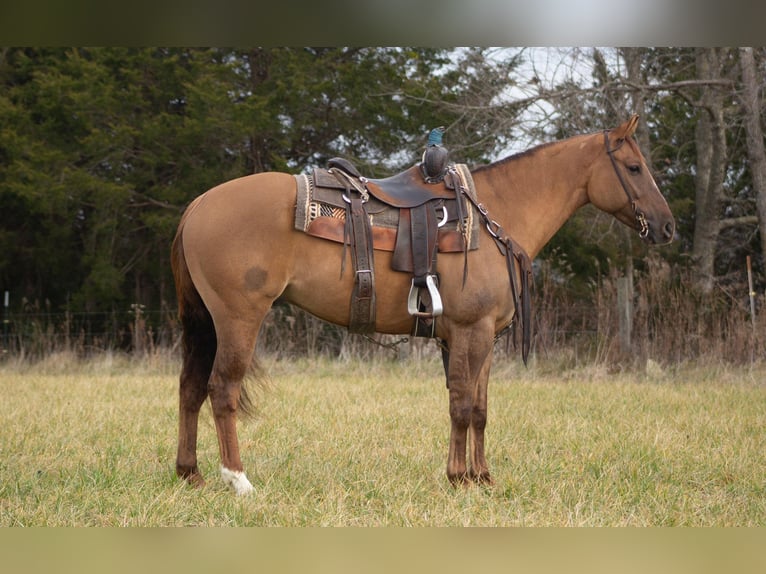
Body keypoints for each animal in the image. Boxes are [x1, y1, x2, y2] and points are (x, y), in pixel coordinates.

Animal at [174, 116, 680, 496]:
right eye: (634, 167)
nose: (668, 227)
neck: (495, 216)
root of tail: (198, 205)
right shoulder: (470, 330)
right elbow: (461, 404)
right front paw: (458, 478)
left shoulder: (484, 337)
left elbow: (480, 408)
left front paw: (482, 477)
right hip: (239, 319)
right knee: (222, 390)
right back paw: (238, 480)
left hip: (205, 322)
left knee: (190, 389)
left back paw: (190, 473)